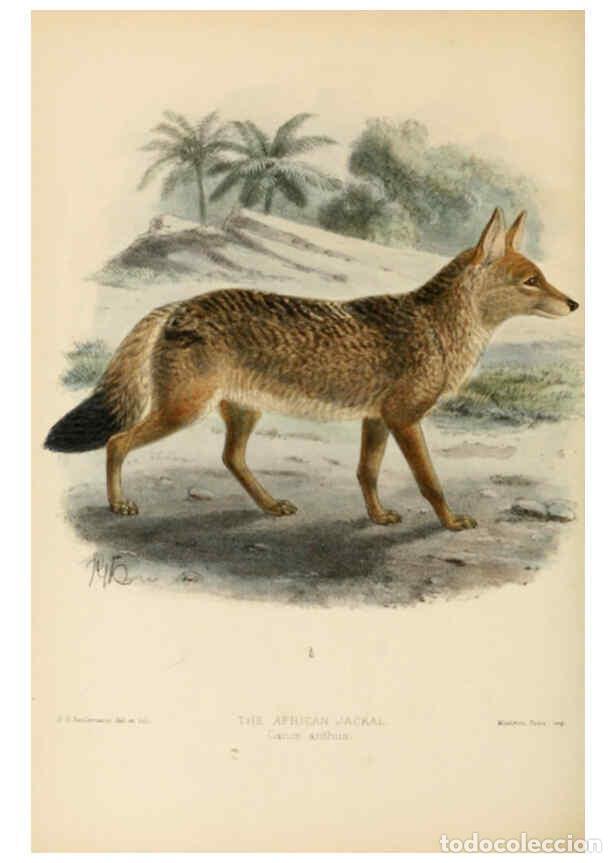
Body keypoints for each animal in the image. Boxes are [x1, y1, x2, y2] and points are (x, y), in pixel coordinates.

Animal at [45, 208, 579, 531]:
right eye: (532, 281)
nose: (574, 303)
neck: (439, 328)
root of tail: (177, 305)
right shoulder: (405, 420)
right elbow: (431, 481)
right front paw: (450, 523)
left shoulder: (377, 420)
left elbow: (366, 473)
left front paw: (377, 516)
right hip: (182, 412)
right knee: (118, 441)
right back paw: (119, 504)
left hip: (242, 413)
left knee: (231, 459)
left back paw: (270, 506)